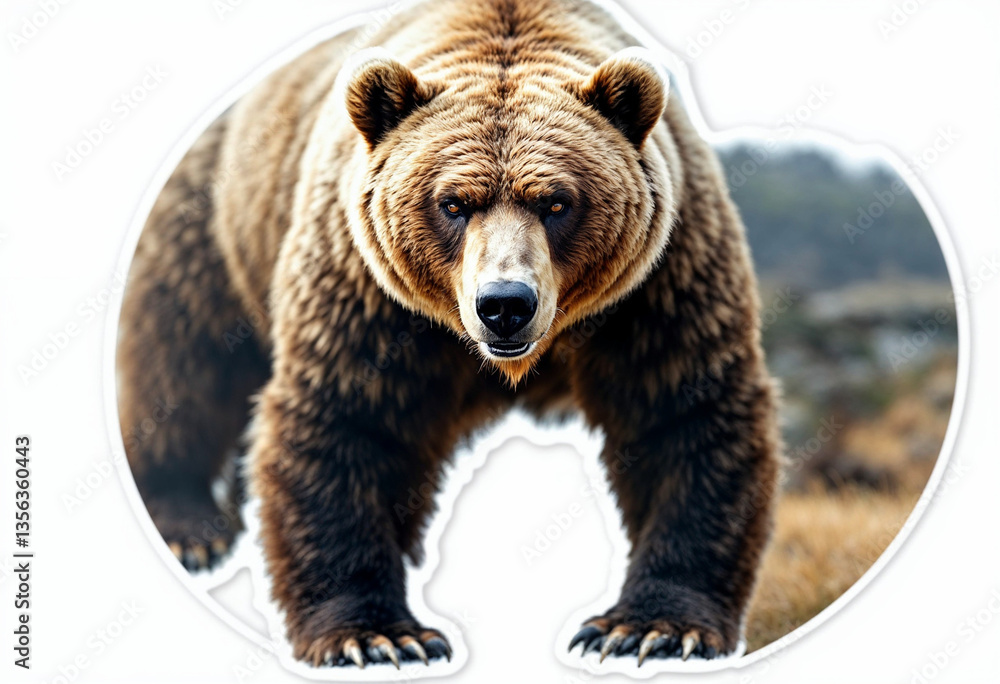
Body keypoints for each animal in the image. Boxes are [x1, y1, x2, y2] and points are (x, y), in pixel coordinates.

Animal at [116, 0, 780, 669]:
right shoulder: (366, 290)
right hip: (214, 228)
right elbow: (346, 420)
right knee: (184, 361)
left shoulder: (659, 283)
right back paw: (187, 527)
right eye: (453, 203)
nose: (505, 305)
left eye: (557, 202)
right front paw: (379, 636)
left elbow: (683, 415)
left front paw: (648, 628)